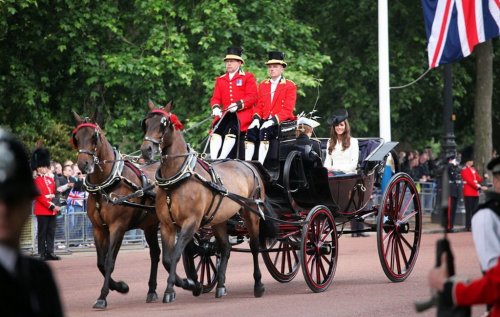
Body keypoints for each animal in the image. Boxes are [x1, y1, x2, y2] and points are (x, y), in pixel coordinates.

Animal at [72, 110, 160, 308]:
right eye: (76, 138)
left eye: (94, 137)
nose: (83, 164)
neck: (107, 185)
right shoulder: (98, 229)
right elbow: (101, 263)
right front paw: (120, 286)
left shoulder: (117, 227)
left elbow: (110, 261)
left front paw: (103, 296)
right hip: (150, 226)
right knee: (155, 254)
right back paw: (152, 290)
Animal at [141, 102, 276, 302]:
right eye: (146, 123)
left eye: (163, 124)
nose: (146, 150)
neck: (178, 178)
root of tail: (249, 164)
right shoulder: (166, 225)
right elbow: (167, 259)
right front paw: (190, 283)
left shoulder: (191, 223)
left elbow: (175, 255)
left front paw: (171, 290)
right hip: (218, 219)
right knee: (226, 248)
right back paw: (220, 286)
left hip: (251, 213)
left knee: (254, 247)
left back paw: (258, 285)